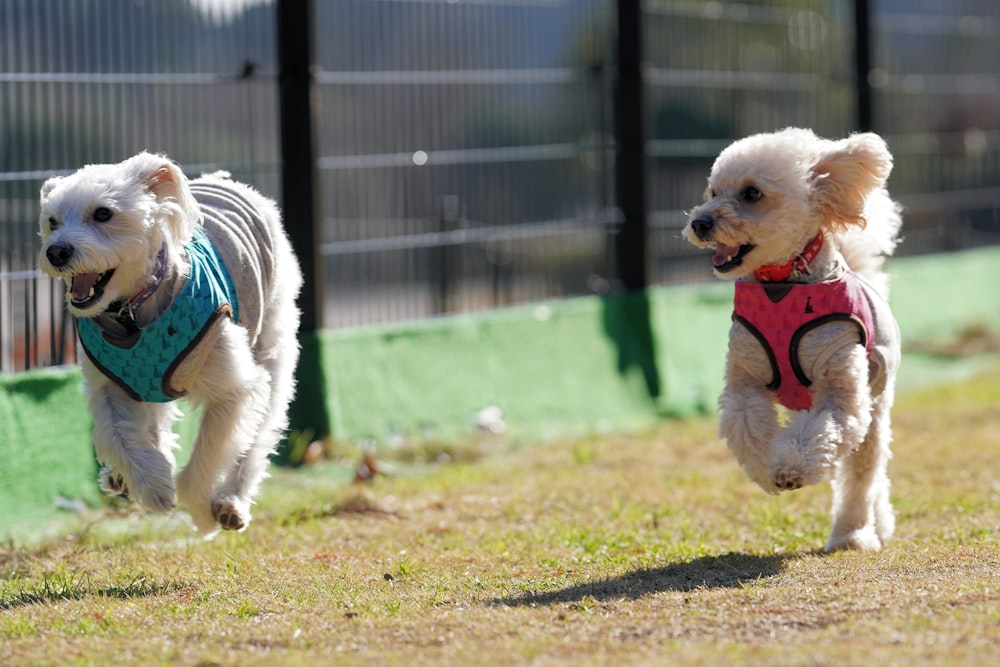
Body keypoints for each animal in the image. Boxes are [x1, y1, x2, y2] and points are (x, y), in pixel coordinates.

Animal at [38, 153, 300, 536]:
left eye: (103, 213)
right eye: (52, 221)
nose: (56, 251)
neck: (131, 313)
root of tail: (225, 180)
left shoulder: (234, 390)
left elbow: (208, 454)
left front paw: (202, 516)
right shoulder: (110, 384)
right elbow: (119, 435)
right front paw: (153, 486)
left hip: (272, 345)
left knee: (259, 435)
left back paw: (231, 502)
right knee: (154, 420)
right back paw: (122, 475)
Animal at [684, 126, 904, 552]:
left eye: (752, 193)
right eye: (713, 191)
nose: (700, 222)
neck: (781, 285)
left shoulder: (838, 381)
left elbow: (824, 429)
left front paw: (789, 469)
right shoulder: (744, 376)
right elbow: (747, 424)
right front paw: (767, 469)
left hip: (876, 403)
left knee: (862, 476)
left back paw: (854, 533)